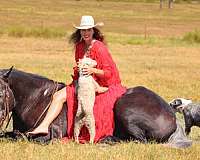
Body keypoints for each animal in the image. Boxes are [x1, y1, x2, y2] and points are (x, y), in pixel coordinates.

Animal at [0, 67, 192, 148]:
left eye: (1, 93)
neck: (37, 99)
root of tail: (172, 116)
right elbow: (9, 135)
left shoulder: (49, 134)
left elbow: (25, 138)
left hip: (124, 108)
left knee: (139, 141)